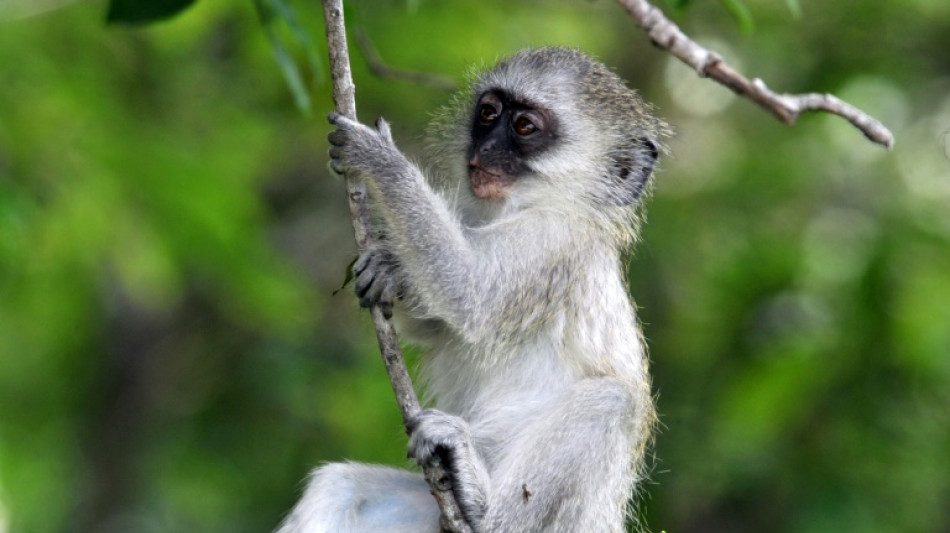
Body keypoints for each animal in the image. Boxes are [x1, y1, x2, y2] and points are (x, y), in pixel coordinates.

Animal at [276, 47, 667, 533]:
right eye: (488, 113)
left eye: (524, 127)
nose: (483, 150)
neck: (517, 207)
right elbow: (440, 321)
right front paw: (389, 267)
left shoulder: (555, 239)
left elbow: (470, 295)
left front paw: (381, 160)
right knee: (338, 485)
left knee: (613, 402)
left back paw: (484, 507)